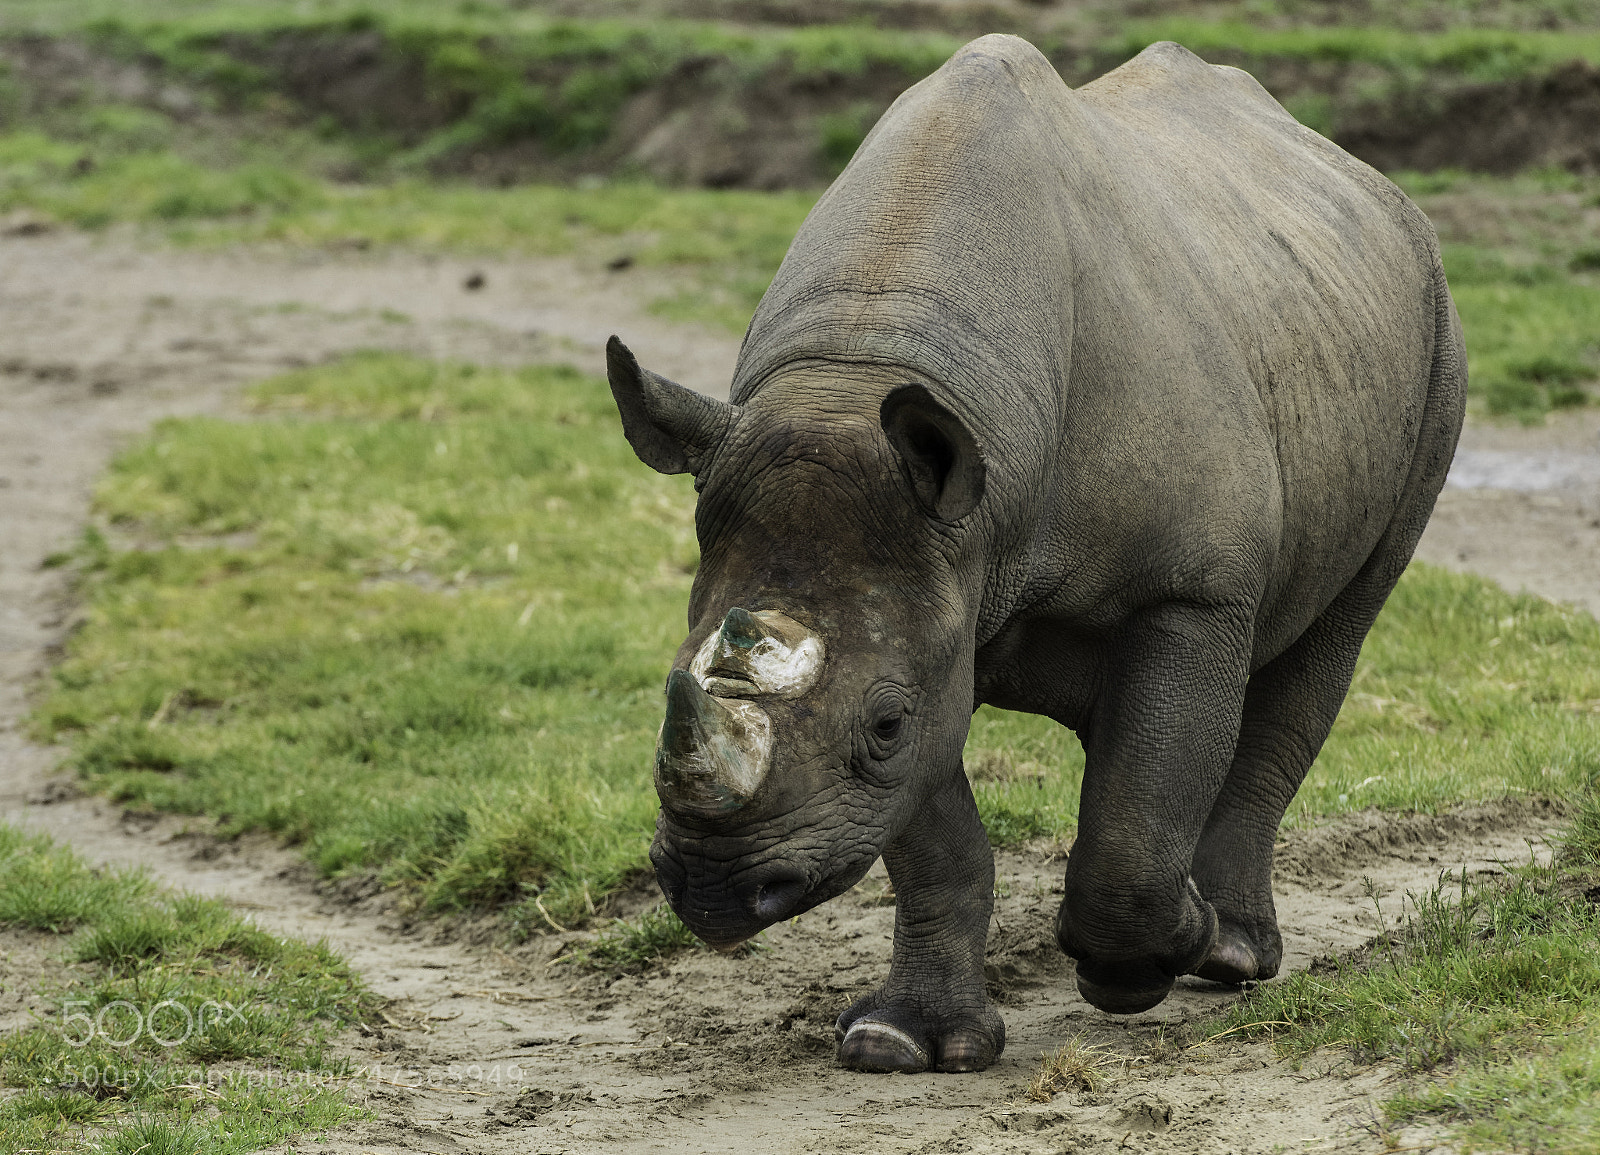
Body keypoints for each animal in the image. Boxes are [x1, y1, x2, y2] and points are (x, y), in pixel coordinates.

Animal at [606, 34, 1465, 1074]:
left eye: (881, 725)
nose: (716, 887)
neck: (858, 374)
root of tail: (1367, 180)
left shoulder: (1190, 589)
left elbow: (1129, 823)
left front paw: (1150, 959)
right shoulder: (942, 591)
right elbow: (941, 841)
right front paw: (900, 1044)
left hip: (1438, 336)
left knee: (1331, 639)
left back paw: (1226, 951)